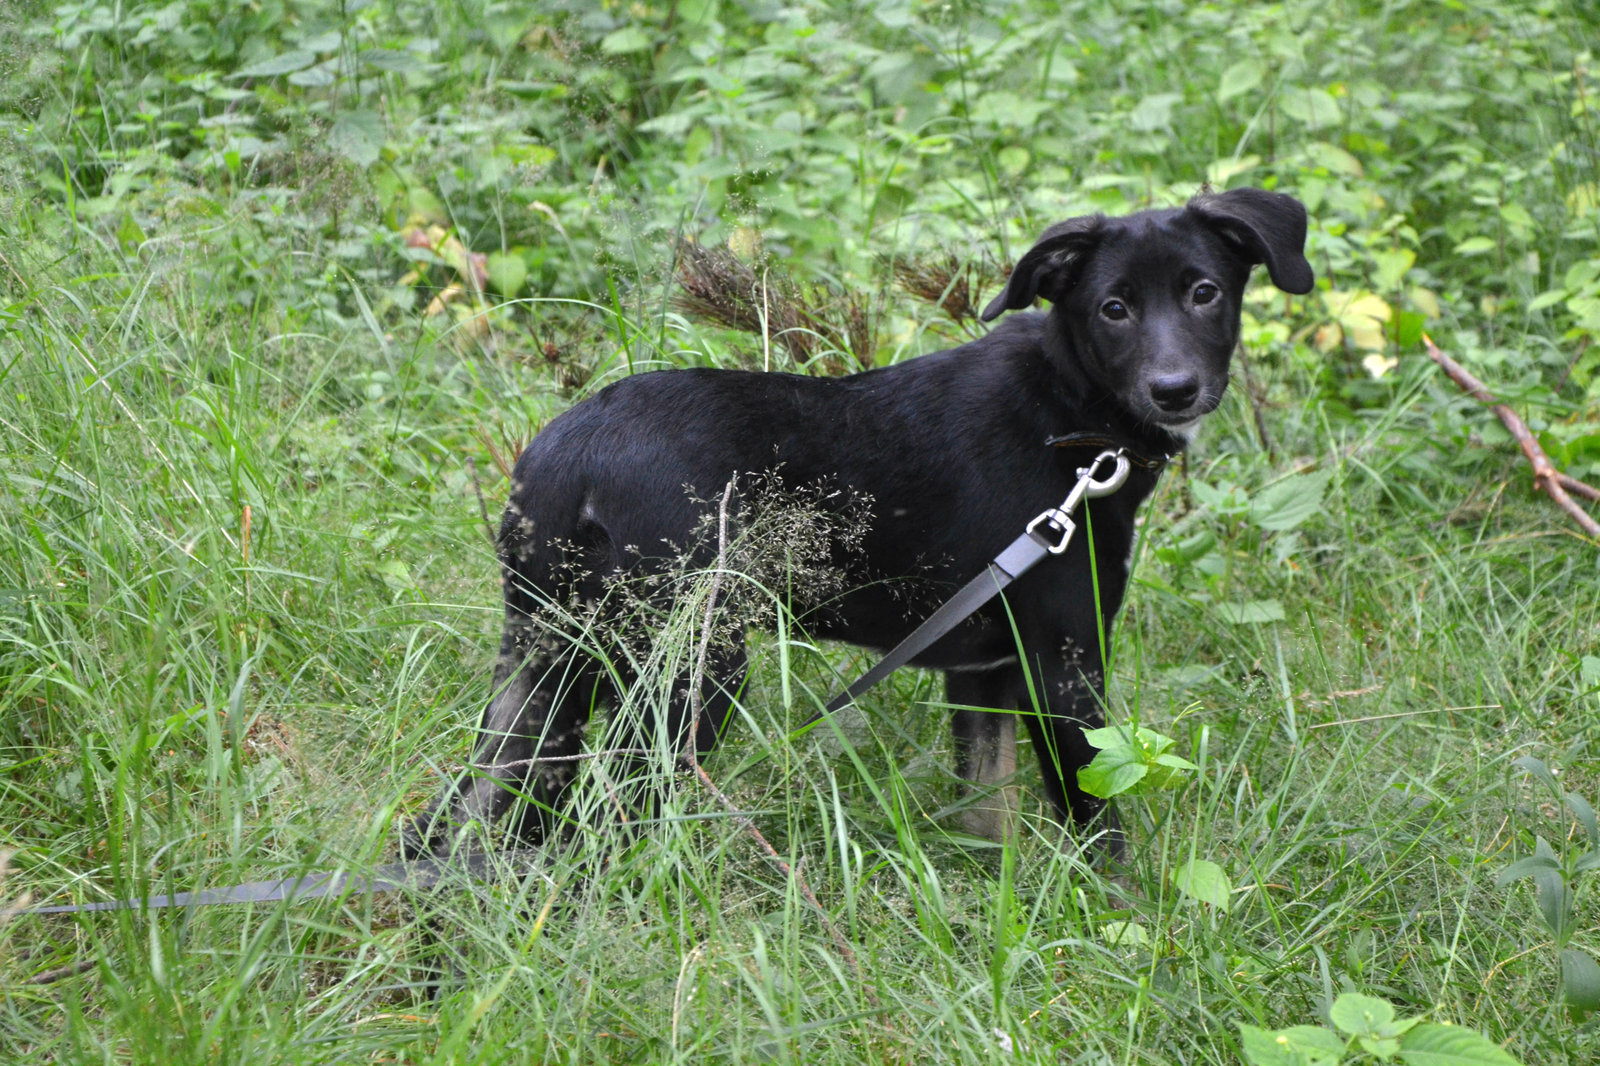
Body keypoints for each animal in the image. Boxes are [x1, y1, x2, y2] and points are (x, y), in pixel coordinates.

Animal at [409, 188, 1312, 857]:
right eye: (1113, 308)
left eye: (1204, 292)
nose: (1175, 389)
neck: (1070, 415)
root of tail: (560, 460)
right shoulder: (1064, 664)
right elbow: (1101, 825)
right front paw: (1127, 929)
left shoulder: (983, 670)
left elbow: (986, 814)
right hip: (689, 671)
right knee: (604, 820)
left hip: (548, 668)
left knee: (479, 814)